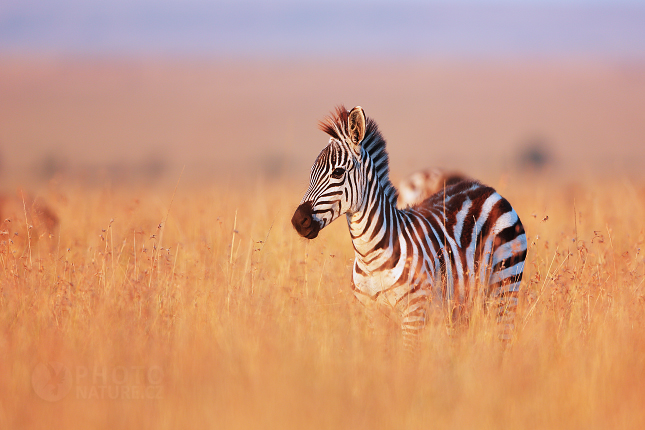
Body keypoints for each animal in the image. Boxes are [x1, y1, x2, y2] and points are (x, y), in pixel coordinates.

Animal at [290, 106, 524, 346]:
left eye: (337, 172)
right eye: (311, 174)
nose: (299, 221)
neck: (370, 257)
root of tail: (485, 189)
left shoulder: (414, 312)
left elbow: (407, 354)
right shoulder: (370, 314)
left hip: (505, 287)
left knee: (503, 337)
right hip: (459, 304)